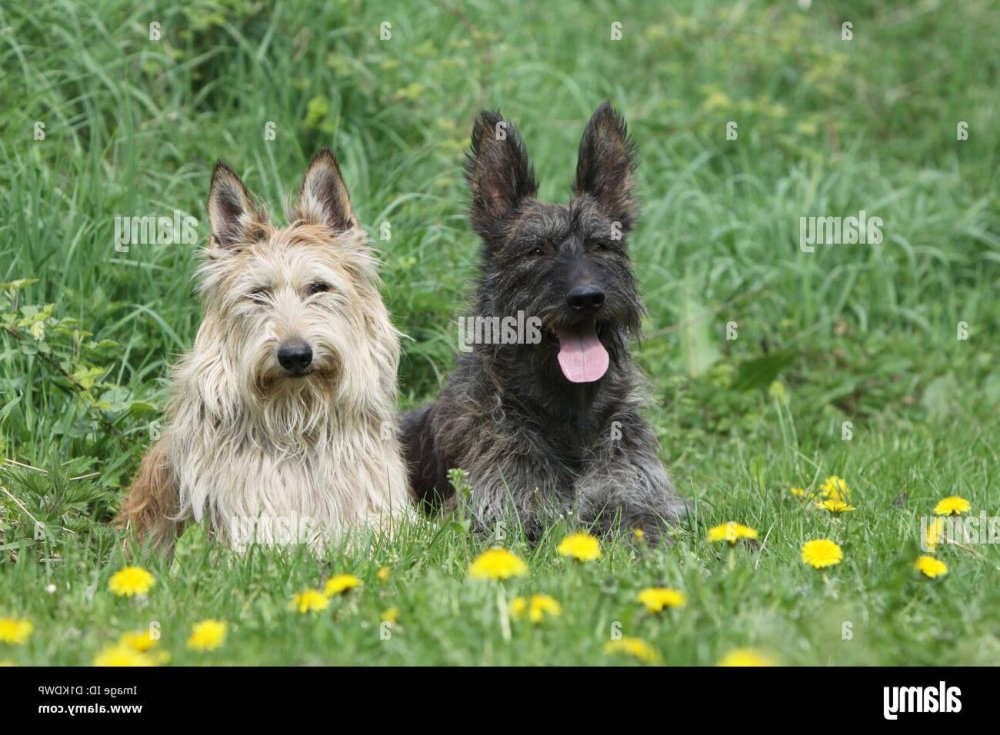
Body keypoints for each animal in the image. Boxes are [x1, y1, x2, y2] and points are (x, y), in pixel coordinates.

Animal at [402, 102, 684, 540]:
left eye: (600, 245)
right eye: (536, 250)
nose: (587, 298)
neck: (567, 416)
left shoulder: (641, 502)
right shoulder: (501, 519)